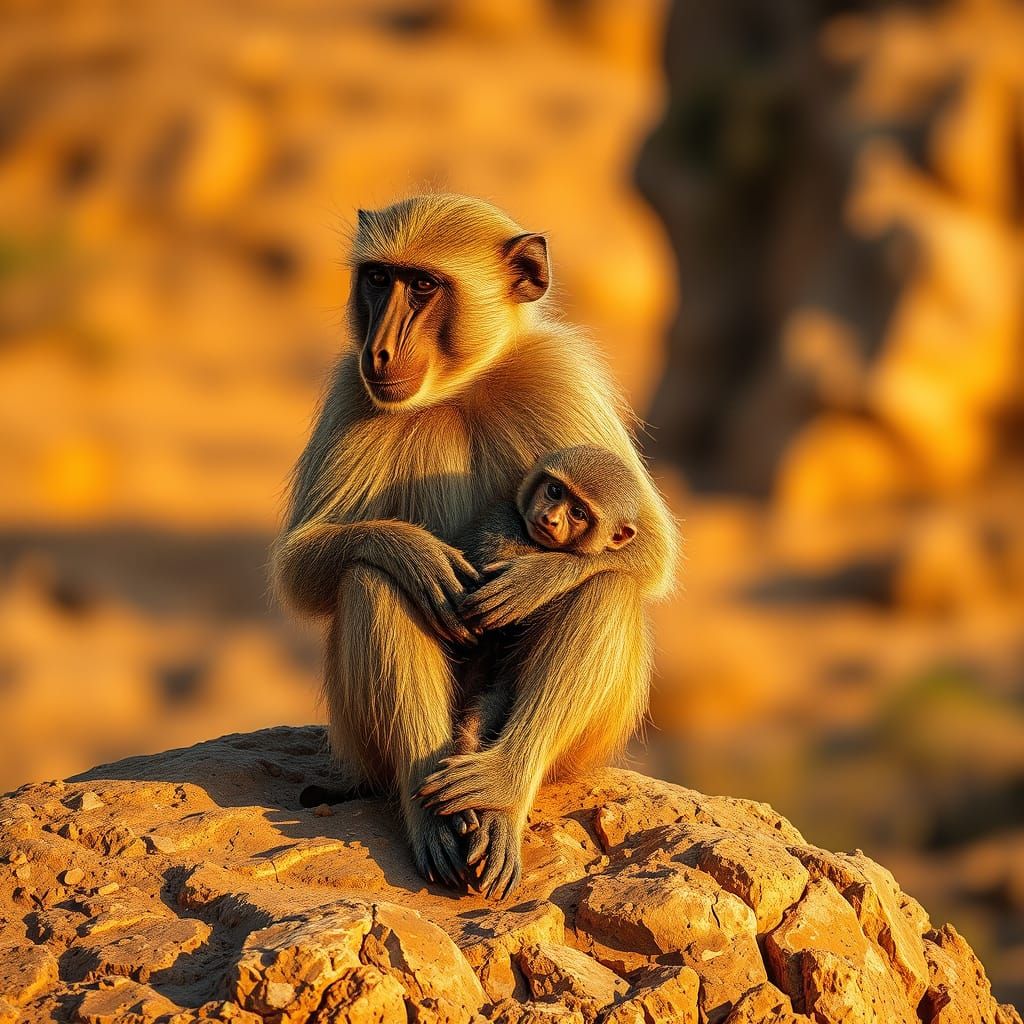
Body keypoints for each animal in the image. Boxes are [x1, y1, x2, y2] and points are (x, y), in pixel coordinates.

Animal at [272, 194, 677, 899]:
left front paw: (535, 578)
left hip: (576, 754)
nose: (380, 350)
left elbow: (647, 549)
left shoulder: (557, 373)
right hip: (358, 743)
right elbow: (303, 567)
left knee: (608, 585)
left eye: (424, 286)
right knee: (368, 577)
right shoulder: (353, 388)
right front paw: (413, 551)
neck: (457, 388)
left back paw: (499, 791)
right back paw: (429, 807)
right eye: (378, 278)